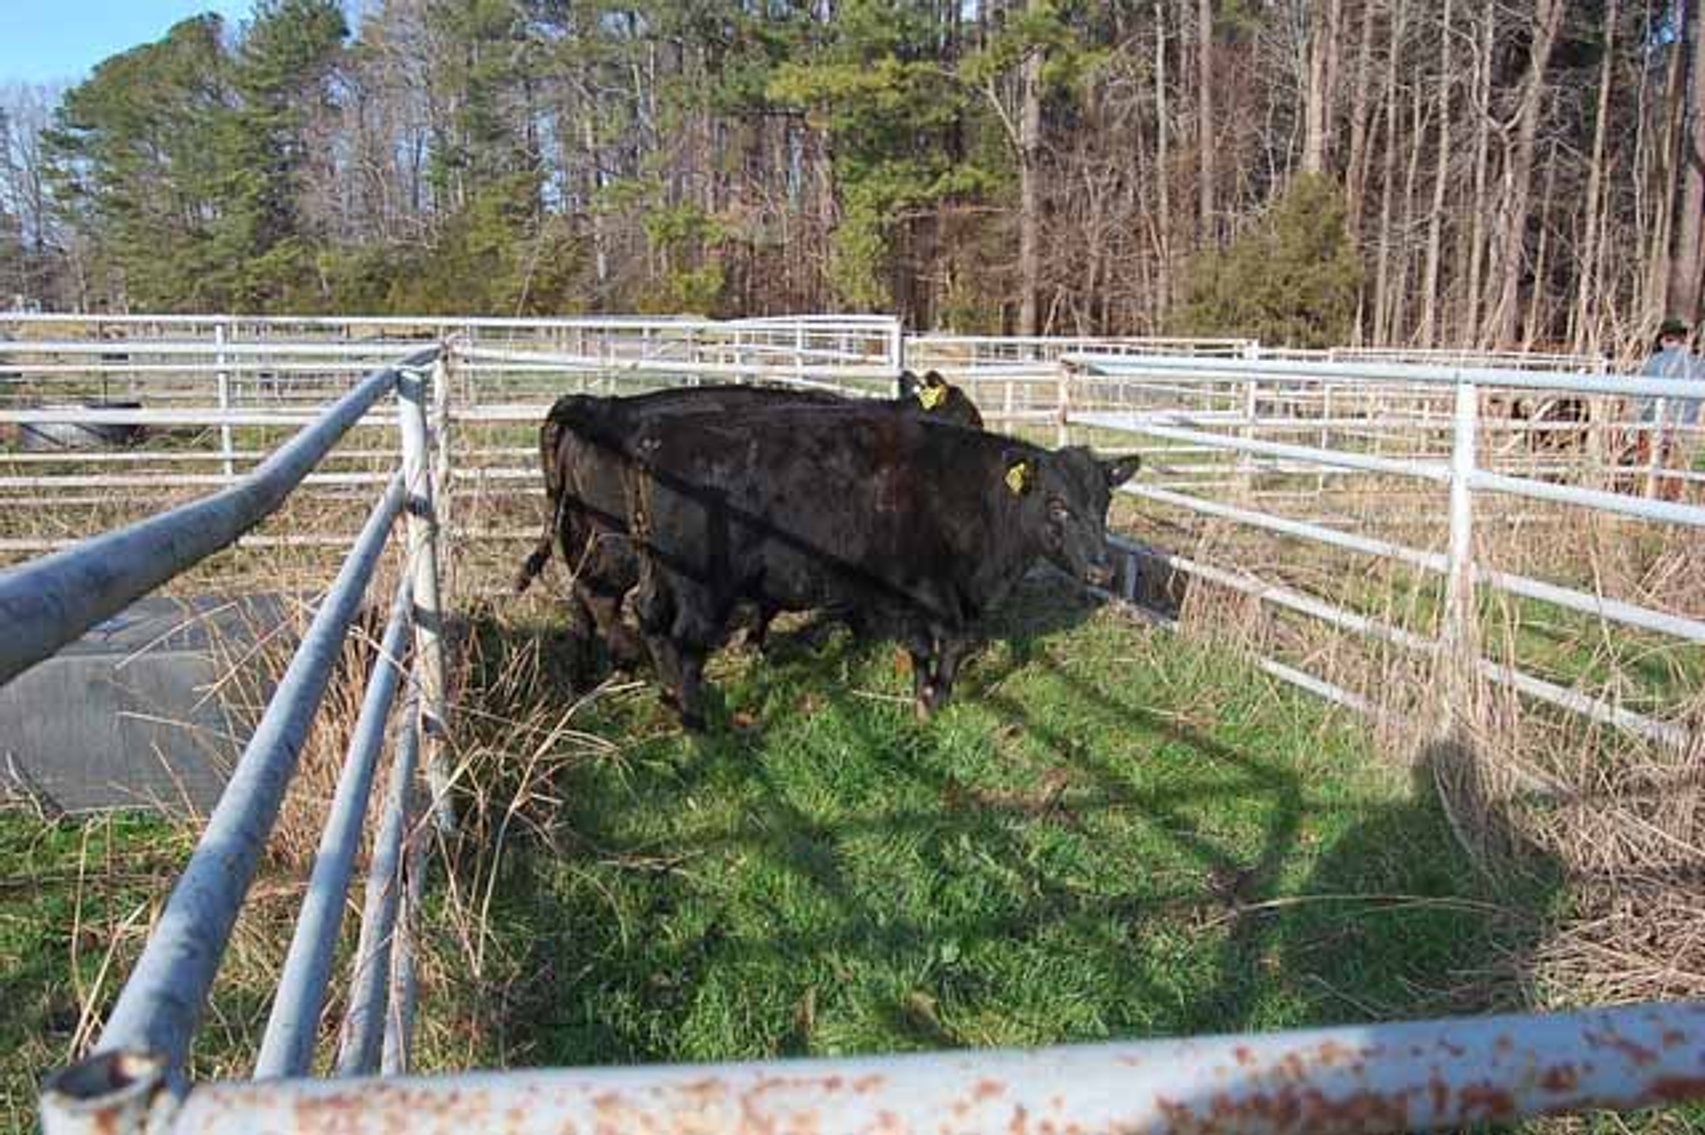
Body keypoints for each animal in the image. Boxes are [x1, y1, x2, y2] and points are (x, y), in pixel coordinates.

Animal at [514, 371, 983, 684]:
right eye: (969, 423)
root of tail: (593, 403)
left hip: (582, 532)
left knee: (581, 594)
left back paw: (590, 671)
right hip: (619, 545)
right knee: (600, 595)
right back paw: (630, 656)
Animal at [621, 406, 1139, 729]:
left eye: (1104, 502)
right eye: (1057, 505)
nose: (1102, 572)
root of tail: (660, 434)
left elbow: (921, 647)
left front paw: (921, 696)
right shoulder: (927, 589)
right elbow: (950, 642)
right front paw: (936, 699)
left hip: (659, 573)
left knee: (650, 618)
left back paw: (668, 694)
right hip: (702, 588)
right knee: (687, 644)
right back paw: (697, 721)